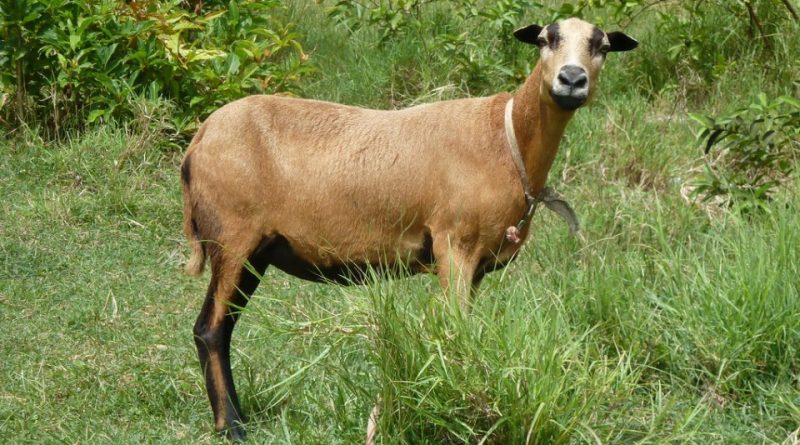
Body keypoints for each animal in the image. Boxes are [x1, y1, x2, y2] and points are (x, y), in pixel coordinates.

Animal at [180, 17, 636, 440]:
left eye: (602, 46)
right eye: (545, 39)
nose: (571, 80)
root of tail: (197, 143)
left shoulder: (478, 263)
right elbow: (455, 332)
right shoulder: (454, 243)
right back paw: (231, 427)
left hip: (256, 252)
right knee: (209, 329)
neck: (506, 142)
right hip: (233, 235)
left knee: (224, 327)